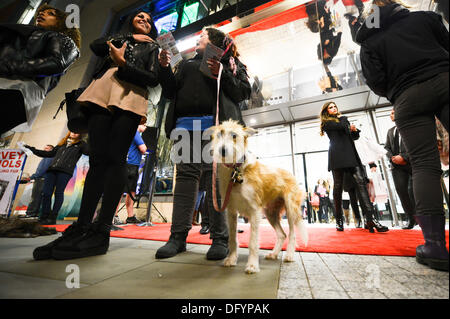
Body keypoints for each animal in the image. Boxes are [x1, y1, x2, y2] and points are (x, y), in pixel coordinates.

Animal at [209, 120, 308, 276]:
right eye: (219, 134)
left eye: (234, 135)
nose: (222, 150)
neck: (235, 172)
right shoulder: (231, 211)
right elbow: (233, 238)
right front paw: (231, 259)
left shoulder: (254, 211)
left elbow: (252, 242)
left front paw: (252, 265)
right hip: (270, 213)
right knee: (282, 234)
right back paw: (274, 254)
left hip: (291, 210)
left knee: (291, 234)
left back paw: (289, 255)